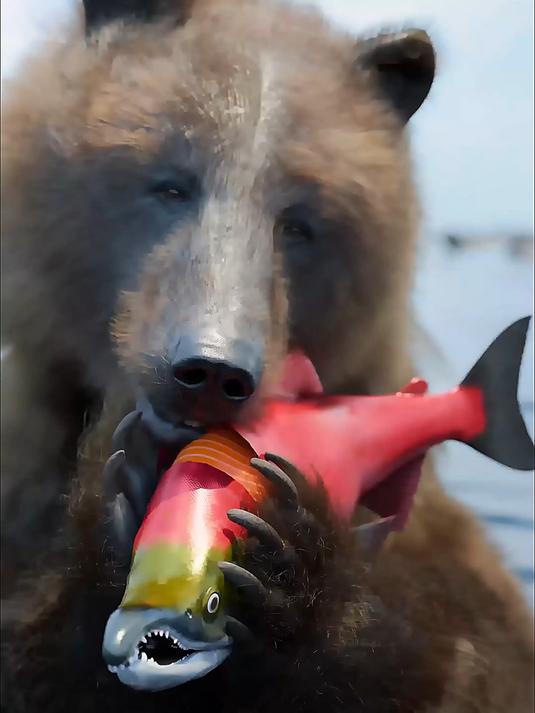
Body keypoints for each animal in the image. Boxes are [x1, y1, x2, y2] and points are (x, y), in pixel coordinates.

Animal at [1, 0, 533, 711]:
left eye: (301, 221)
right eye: (170, 183)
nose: (211, 371)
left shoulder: (452, 589)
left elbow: (445, 662)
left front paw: (288, 557)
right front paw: (116, 511)